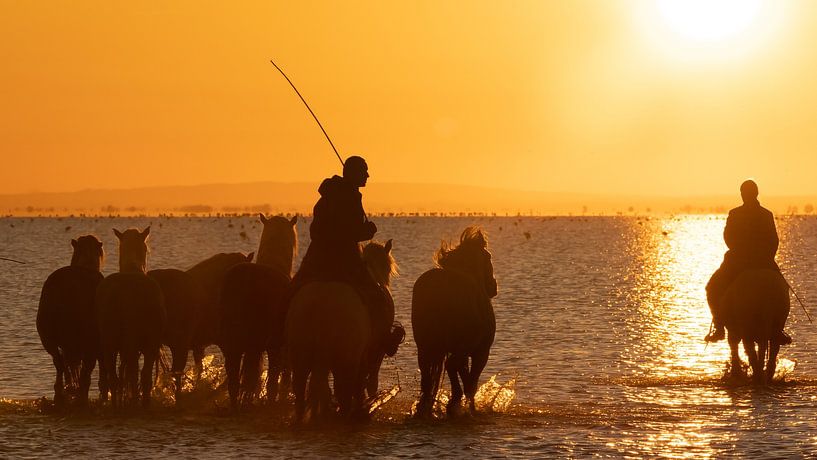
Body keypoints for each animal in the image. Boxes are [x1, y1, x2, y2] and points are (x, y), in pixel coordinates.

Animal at [37, 235, 104, 407]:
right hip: (89, 343)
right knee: (85, 369)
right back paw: (80, 396)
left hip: (49, 340)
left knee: (59, 363)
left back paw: (60, 394)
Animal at [287, 239, 398, 423]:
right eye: (388, 267)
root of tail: (321, 302)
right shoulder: (375, 352)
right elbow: (368, 383)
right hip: (347, 358)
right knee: (344, 389)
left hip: (301, 356)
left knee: (301, 388)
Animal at [411, 227, 497, 417]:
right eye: (488, 256)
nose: (493, 286)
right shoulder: (480, 352)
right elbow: (471, 381)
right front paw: (470, 406)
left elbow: (464, 375)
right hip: (461, 346)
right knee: (450, 366)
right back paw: (453, 403)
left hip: (426, 346)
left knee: (427, 374)